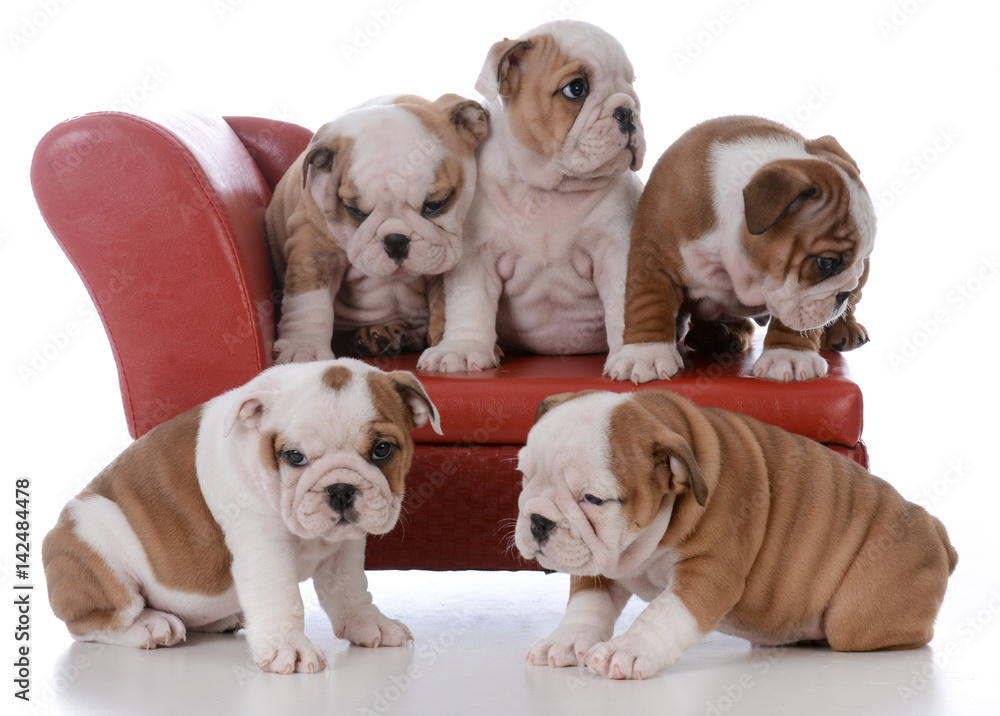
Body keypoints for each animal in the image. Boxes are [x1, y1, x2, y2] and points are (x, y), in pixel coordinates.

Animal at [42, 360, 442, 676]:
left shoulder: (345, 548)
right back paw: (151, 626)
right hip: (93, 544)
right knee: (93, 621)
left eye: (382, 450)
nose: (340, 488)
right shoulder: (265, 547)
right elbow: (282, 598)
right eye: (294, 456)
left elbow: (350, 589)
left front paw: (368, 623)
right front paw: (289, 648)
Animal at [264, 93, 486, 364]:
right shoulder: (314, 244)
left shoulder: (442, 254)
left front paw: (449, 345)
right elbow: (309, 298)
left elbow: (443, 302)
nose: (396, 240)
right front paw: (303, 348)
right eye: (355, 211)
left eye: (435, 204)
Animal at [416, 19, 644, 372]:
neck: (547, 189)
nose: (627, 110)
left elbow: (625, 301)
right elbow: (470, 304)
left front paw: (637, 355)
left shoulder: (615, 250)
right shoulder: (475, 256)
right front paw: (462, 348)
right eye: (576, 89)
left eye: (631, 86)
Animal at [520, 388, 956, 680]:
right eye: (524, 475)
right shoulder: (595, 563)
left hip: (858, 618)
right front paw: (565, 640)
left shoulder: (710, 573)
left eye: (593, 499)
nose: (538, 521)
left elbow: (663, 613)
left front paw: (626, 650)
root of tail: (938, 530)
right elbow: (587, 606)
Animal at [600, 116, 876, 386]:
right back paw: (717, 335)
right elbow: (648, 305)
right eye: (825, 263)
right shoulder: (653, 260)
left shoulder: (799, 295)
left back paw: (844, 329)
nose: (843, 293)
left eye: (861, 258)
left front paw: (789, 355)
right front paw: (644, 355)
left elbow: (794, 322)